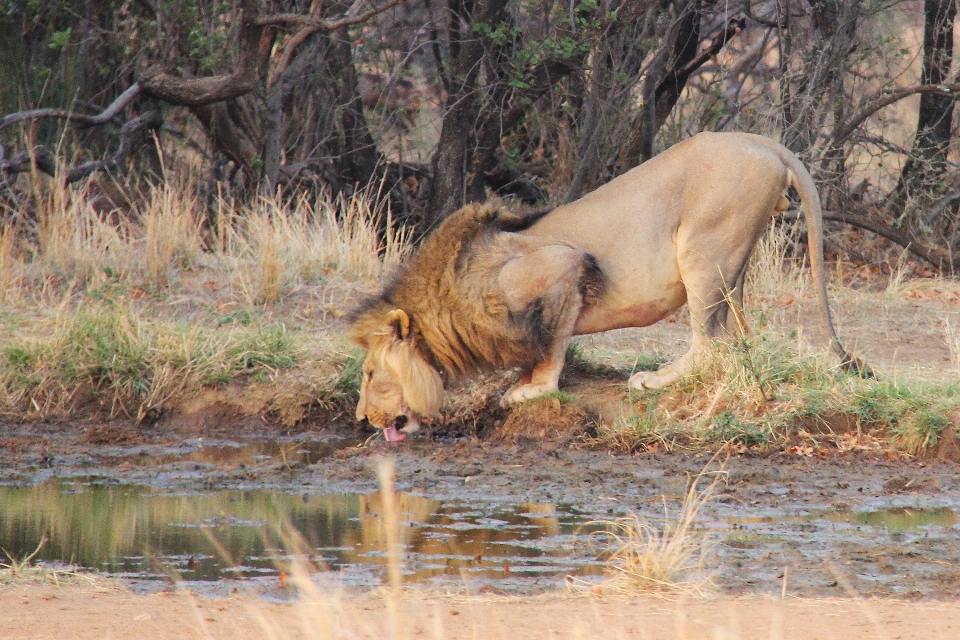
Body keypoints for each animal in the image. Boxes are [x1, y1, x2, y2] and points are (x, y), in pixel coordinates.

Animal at [348, 130, 860, 440]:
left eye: (371, 375)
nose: (361, 419)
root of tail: (764, 142)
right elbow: (533, 352)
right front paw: (521, 382)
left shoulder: (562, 265)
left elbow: (552, 347)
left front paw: (535, 390)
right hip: (732, 263)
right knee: (733, 340)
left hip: (703, 247)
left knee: (707, 342)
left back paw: (655, 379)